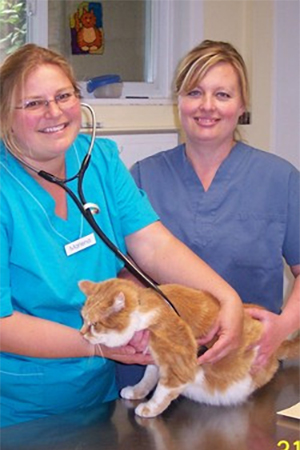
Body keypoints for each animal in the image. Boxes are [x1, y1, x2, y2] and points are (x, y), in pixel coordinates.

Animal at [78, 278, 298, 418]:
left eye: (94, 324)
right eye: (83, 319)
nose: (81, 334)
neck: (143, 311)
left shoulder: (177, 365)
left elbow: (162, 392)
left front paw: (149, 409)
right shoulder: (155, 360)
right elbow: (147, 379)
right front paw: (137, 391)